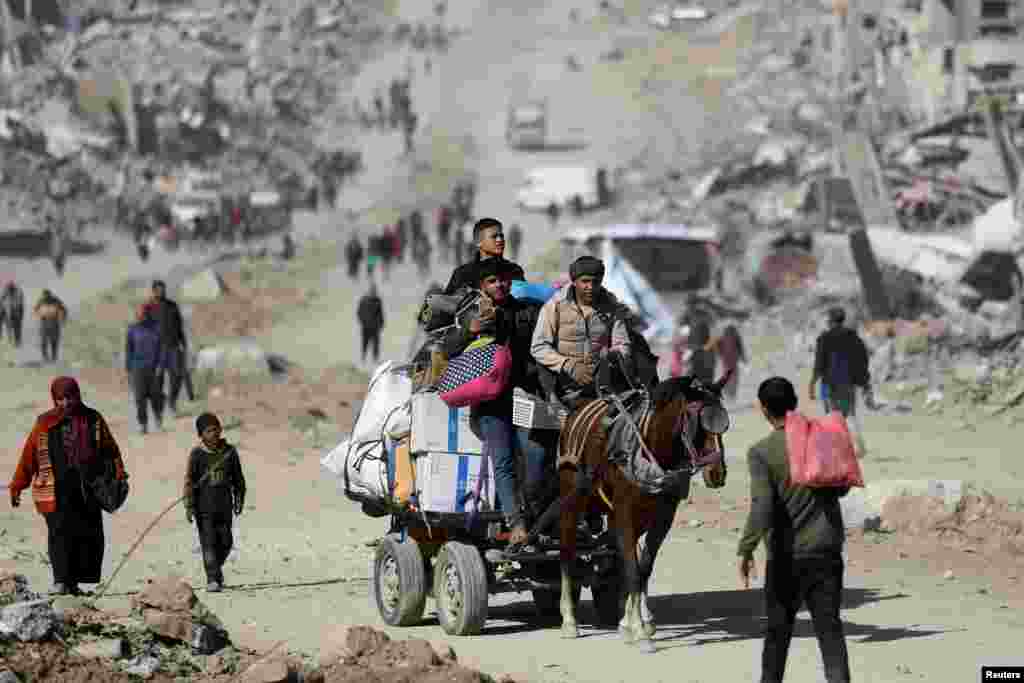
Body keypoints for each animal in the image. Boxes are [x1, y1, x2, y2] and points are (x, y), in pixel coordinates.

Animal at [561, 376, 729, 655]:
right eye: (697, 422)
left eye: (725, 424)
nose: (717, 473)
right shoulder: (626, 513)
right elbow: (632, 570)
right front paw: (639, 630)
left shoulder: (663, 517)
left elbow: (643, 568)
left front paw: (635, 623)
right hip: (572, 500)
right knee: (567, 552)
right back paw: (569, 620)